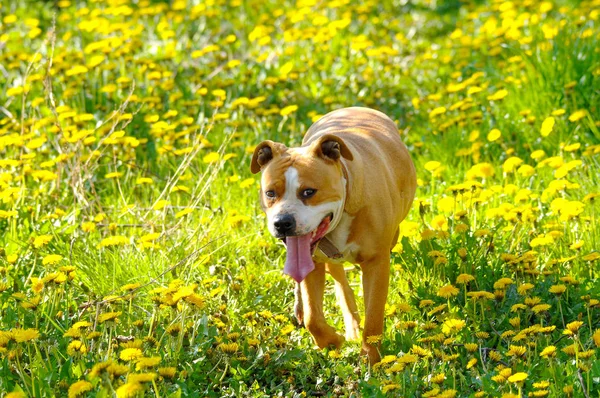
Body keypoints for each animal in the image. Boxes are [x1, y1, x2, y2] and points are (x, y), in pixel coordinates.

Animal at [251, 106, 414, 364]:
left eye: (309, 192)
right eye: (270, 193)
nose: (282, 223)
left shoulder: (377, 262)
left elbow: (374, 315)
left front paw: (371, 360)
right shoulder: (312, 263)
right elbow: (312, 318)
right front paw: (332, 341)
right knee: (338, 281)